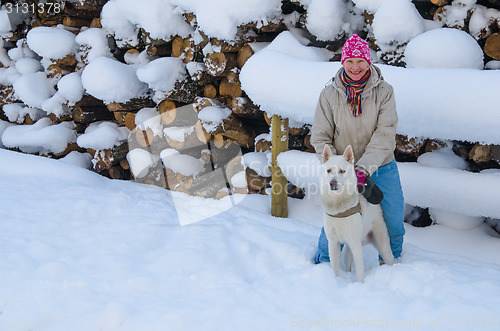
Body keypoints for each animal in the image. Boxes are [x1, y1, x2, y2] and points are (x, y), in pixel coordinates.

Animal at [320, 145, 394, 282]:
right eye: (329, 170)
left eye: (342, 171)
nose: (332, 183)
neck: (339, 206)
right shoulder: (333, 243)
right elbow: (334, 267)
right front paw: (335, 281)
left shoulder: (355, 244)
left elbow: (360, 272)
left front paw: (360, 284)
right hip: (349, 250)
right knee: (348, 265)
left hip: (383, 245)